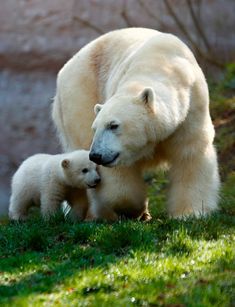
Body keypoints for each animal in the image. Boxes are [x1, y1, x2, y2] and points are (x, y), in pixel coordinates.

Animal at [52, 26, 219, 219]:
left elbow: (190, 154)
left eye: (113, 125)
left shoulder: (191, 107)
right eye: (95, 128)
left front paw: (190, 213)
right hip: (80, 93)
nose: (96, 155)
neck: (160, 64)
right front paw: (133, 209)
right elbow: (119, 175)